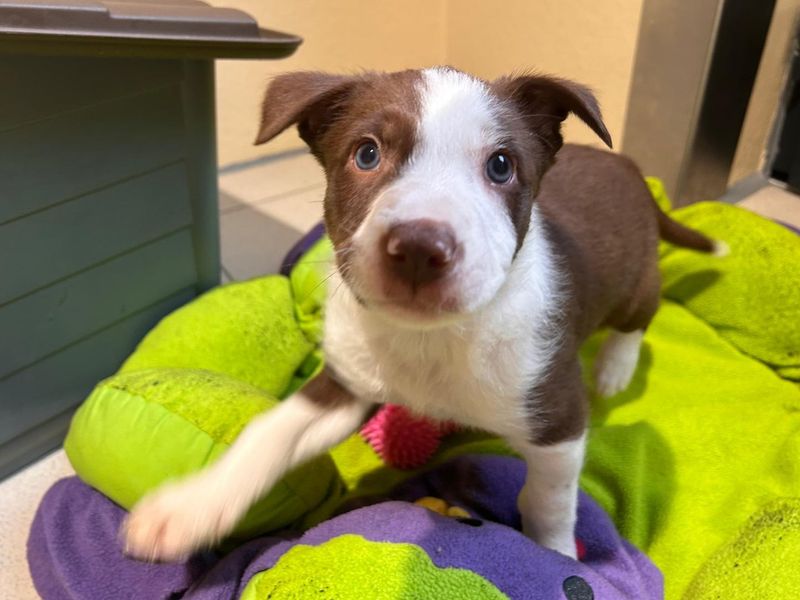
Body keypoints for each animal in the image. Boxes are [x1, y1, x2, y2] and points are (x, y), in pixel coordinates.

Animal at [125, 67, 720, 564]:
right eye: (366, 154)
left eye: (501, 165)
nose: (417, 248)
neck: (432, 338)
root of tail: (631, 168)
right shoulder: (346, 384)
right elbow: (267, 433)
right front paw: (188, 510)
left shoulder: (558, 418)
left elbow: (549, 500)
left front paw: (554, 555)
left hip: (635, 281)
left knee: (641, 314)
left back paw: (616, 368)